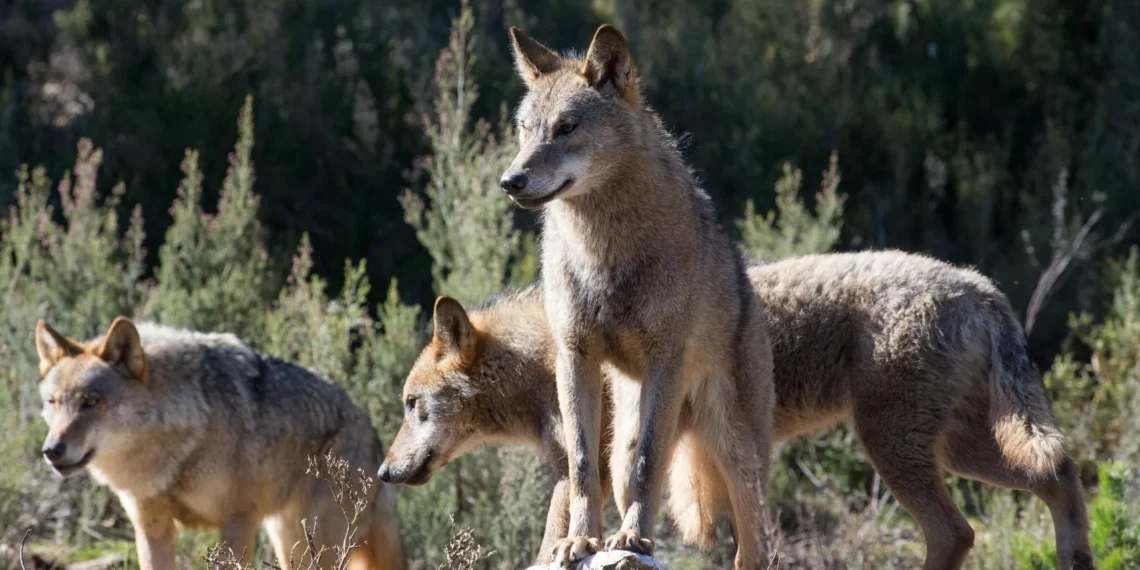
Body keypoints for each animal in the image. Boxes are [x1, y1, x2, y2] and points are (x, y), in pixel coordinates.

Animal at [34, 317, 405, 570]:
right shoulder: (152, 528)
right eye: (53, 402)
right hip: (290, 542)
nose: (52, 451)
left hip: (316, 546)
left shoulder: (238, 521)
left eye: (91, 402)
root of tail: (373, 435)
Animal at [380, 251, 1093, 570]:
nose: (384, 473)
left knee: (957, 531)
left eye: (412, 407)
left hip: (897, 450)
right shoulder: (586, 471)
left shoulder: (586, 470)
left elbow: (553, 540)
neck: (543, 355)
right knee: (1060, 476)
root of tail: (981, 287)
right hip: (961, 451)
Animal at [499, 24, 776, 569]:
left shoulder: (664, 359)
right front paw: (580, 541)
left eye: (566, 127)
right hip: (627, 435)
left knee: (754, 544)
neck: (603, 252)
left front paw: (632, 540)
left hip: (734, 449)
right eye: (525, 128)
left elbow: (651, 465)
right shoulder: (574, 357)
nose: (510, 181)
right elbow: (582, 466)